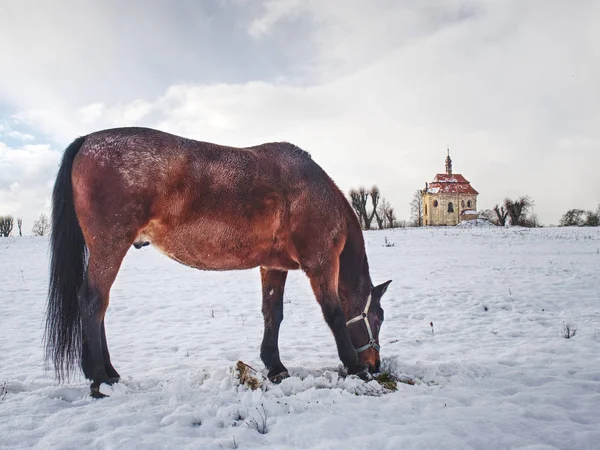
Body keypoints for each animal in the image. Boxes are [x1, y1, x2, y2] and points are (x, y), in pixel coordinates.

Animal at [47, 126, 394, 398]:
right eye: (378, 318)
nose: (375, 365)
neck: (315, 191)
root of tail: (88, 141)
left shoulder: (273, 266)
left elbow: (273, 314)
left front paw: (275, 366)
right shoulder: (321, 262)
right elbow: (334, 315)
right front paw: (354, 367)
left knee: (97, 305)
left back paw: (108, 372)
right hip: (110, 246)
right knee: (94, 301)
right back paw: (100, 378)